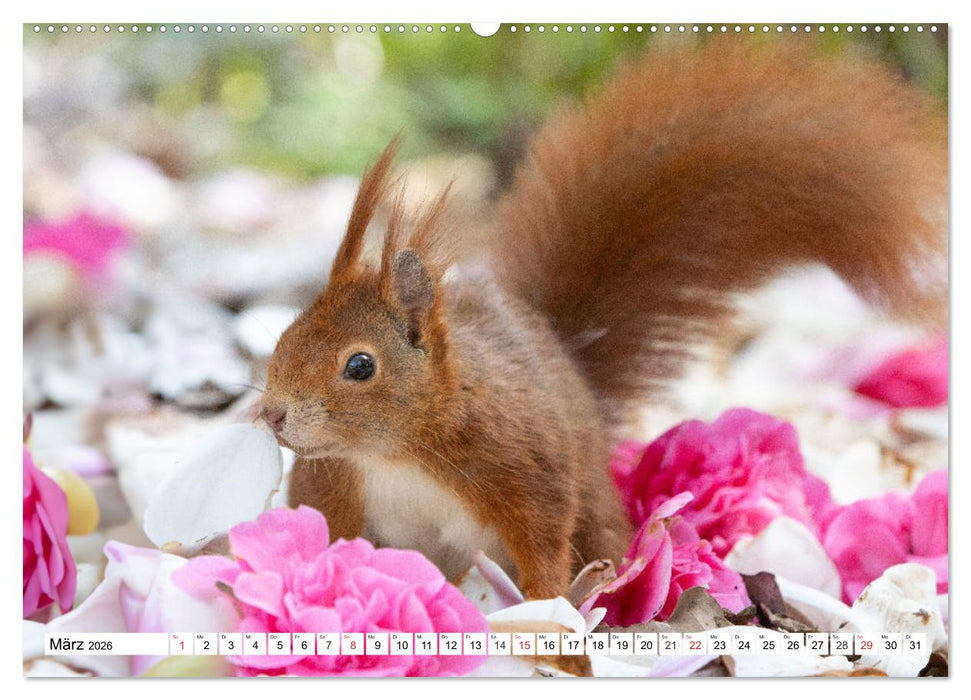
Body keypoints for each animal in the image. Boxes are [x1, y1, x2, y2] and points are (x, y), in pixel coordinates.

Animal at [260, 40, 946, 600]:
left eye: (360, 365)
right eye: (285, 336)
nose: (271, 413)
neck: (396, 451)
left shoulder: (524, 467)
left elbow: (542, 544)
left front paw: (550, 619)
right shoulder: (334, 489)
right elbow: (327, 538)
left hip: (591, 504)